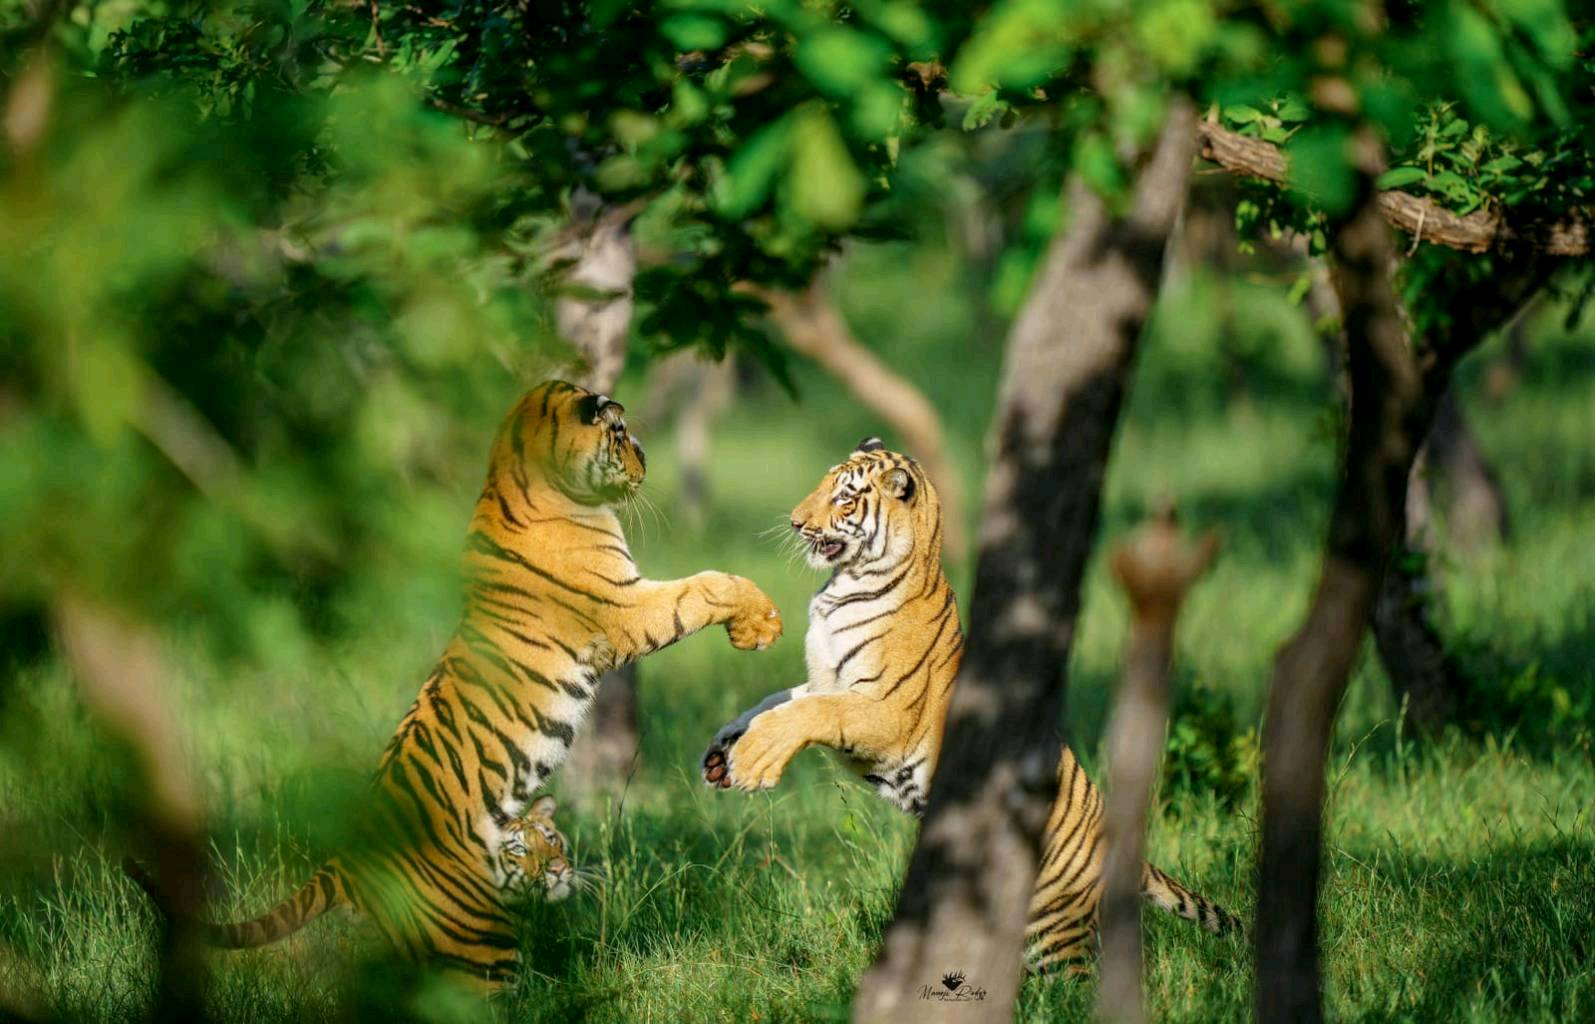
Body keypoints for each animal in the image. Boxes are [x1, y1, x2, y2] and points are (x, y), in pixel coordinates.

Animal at [135, 380, 782, 990]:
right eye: (621, 432)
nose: (646, 462)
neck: (516, 472)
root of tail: (345, 857)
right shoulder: (623, 606)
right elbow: (705, 587)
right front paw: (761, 623)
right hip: (477, 935)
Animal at [699, 437, 1237, 971]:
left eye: (845, 498)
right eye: (824, 484)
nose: (795, 521)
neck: (841, 586)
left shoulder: (883, 712)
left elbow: (810, 712)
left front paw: (753, 760)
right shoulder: (824, 679)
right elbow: (777, 701)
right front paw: (724, 750)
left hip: (1054, 925)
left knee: (1072, 978)